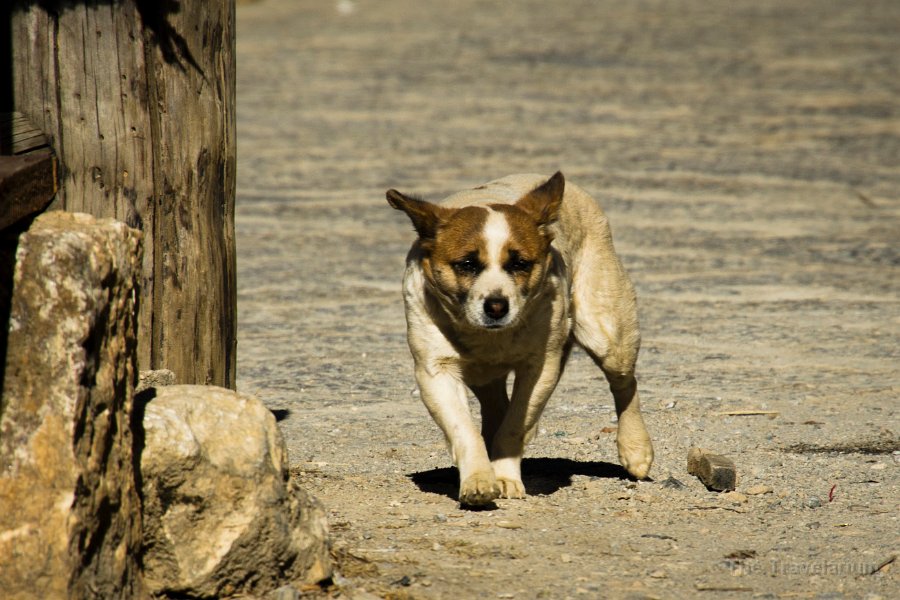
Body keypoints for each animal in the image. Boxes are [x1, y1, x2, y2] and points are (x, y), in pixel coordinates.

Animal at [386, 172, 652, 506]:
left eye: (520, 264)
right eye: (467, 264)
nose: (497, 306)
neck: (489, 338)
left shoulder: (541, 366)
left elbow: (514, 425)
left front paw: (504, 476)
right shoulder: (435, 371)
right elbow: (464, 429)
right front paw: (479, 478)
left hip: (606, 333)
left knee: (624, 383)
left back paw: (635, 449)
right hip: (482, 376)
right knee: (495, 404)